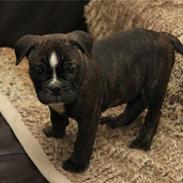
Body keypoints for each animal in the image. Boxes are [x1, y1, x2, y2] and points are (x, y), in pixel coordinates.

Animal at [13, 28, 183, 173]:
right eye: (39, 71)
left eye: (71, 69)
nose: (55, 87)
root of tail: (162, 35)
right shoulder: (54, 107)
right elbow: (57, 119)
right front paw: (56, 133)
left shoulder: (89, 119)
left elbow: (82, 142)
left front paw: (76, 164)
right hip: (133, 85)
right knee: (135, 105)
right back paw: (114, 122)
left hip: (154, 85)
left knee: (154, 114)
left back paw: (142, 141)